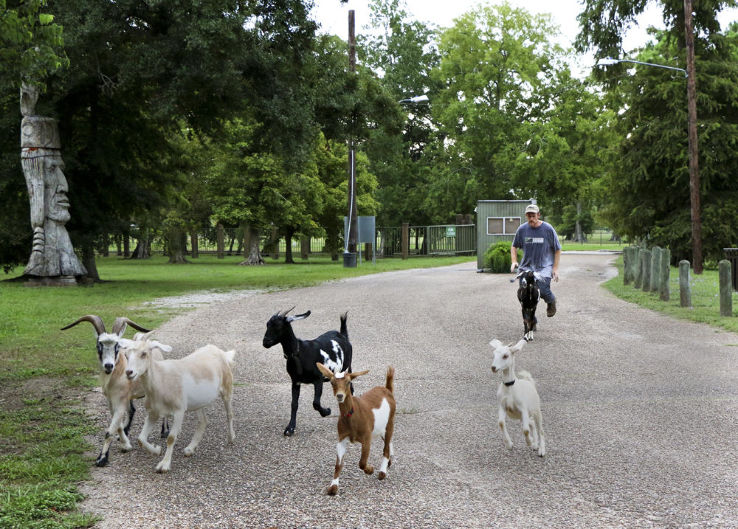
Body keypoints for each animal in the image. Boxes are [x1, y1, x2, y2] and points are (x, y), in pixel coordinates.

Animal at [60, 315, 171, 466]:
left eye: (117, 346)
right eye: (98, 345)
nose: (108, 365)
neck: (119, 372)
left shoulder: (120, 400)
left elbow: (109, 431)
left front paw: (102, 458)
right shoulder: (112, 401)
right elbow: (117, 425)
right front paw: (125, 444)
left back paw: (165, 431)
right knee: (132, 410)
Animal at [125, 337, 236, 473]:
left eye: (144, 354)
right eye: (126, 355)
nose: (129, 372)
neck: (161, 380)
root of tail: (222, 352)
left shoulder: (179, 411)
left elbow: (171, 438)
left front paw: (164, 464)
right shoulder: (153, 413)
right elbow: (140, 438)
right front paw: (156, 450)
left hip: (227, 387)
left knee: (229, 414)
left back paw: (231, 438)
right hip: (198, 402)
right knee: (203, 421)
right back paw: (190, 449)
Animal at [262, 308, 352, 436]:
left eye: (278, 326)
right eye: (267, 324)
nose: (265, 342)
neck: (299, 353)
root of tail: (343, 335)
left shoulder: (318, 379)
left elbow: (315, 403)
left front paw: (326, 412)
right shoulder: (295, 382)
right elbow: (294, 404)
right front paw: (290, 428)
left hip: (346, 368)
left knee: (351, 389)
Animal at [316, 363, 396, 496]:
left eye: (348, 382)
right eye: (332, 382)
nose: (340, 396)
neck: (353, 414)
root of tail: (387, 389)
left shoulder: (366, 437)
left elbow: (362, 463)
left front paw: (370, 470)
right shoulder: (342, 438)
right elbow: (338, 465)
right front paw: (333, 487)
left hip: (390, 421)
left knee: (386, 445)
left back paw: (382, 472)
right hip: (380, 427)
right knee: (387, 441)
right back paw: (389, 461)